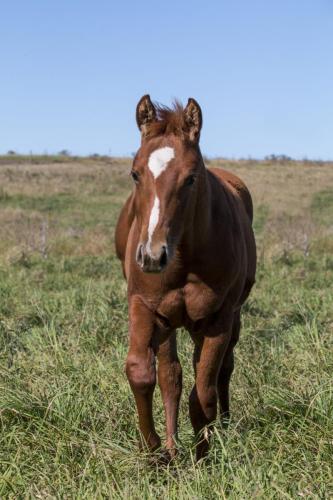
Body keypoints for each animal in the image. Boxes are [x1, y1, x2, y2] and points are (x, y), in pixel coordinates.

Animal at [115, 94, 255, 460]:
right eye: (135, 174)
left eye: (191, 178)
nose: (152, 256)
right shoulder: (144, 305)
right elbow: (143, 372)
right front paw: (153, 449)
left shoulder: (218, 318)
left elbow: (204, 391)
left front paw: (202, 453)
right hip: (169, 322)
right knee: (172, 376)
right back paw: (172, 444)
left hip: (222, 319)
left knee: (223, 369)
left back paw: (222, 425)